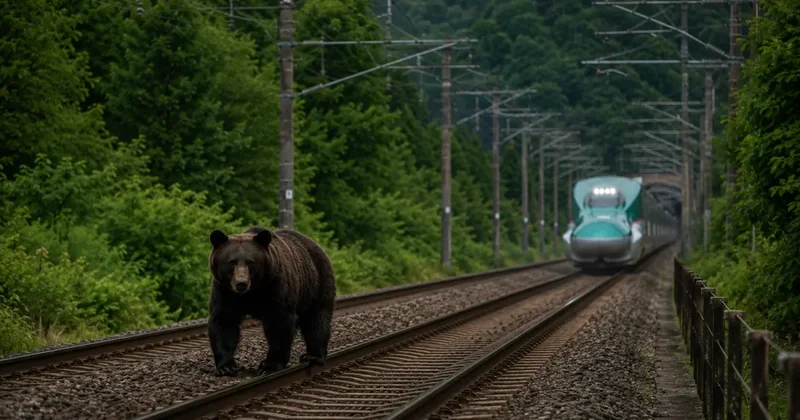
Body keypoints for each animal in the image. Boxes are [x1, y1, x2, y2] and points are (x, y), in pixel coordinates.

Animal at [207, 226, 336, 376]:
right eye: (231, 262)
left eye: (250, 262)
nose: (241, 283)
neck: (251, 292)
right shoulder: (224, 290)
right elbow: (224, 321)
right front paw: (226, 366)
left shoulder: (275, 286)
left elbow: (279, 322)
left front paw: (269, 365)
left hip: (316, 283)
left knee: (317, 318)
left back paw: (313, 355)